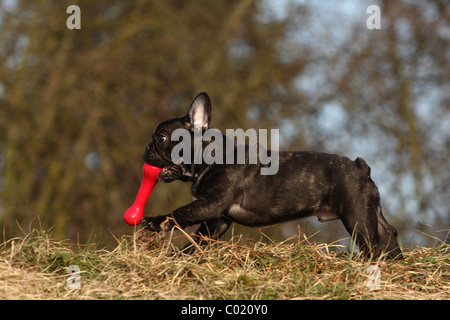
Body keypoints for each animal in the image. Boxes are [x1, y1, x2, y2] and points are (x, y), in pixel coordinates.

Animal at [142, 91, 402, 258]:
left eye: (162, 137)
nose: (146, 148)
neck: (210, 156)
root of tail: (359, 166)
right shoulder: (217, 218)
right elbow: (199, 238)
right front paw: (181, 256)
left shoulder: (211, 204)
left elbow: (181, 213)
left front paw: (155, 221)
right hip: (369, 210)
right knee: (388, 233)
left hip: (356, 216)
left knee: (372, 243)